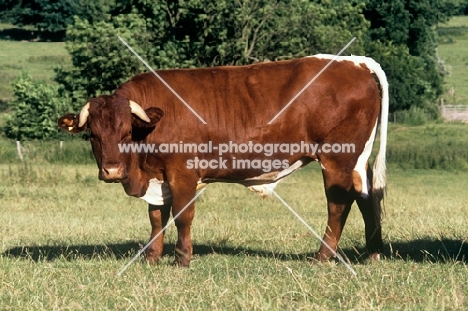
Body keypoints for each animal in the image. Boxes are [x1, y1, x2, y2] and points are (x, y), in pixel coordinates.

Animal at [58, 54, 388, 266]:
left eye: (127, 132)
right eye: (93, 135)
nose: (112, 170)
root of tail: (356, 62)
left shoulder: (182, 172)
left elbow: (182, 215)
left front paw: (182, 259)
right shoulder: (158, 175)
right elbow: (156, 217)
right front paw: (152, 257)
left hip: (337, 158)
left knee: (338, 204)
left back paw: (323, 256)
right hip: (356, 160)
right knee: (365, 197)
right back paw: (372, 252)